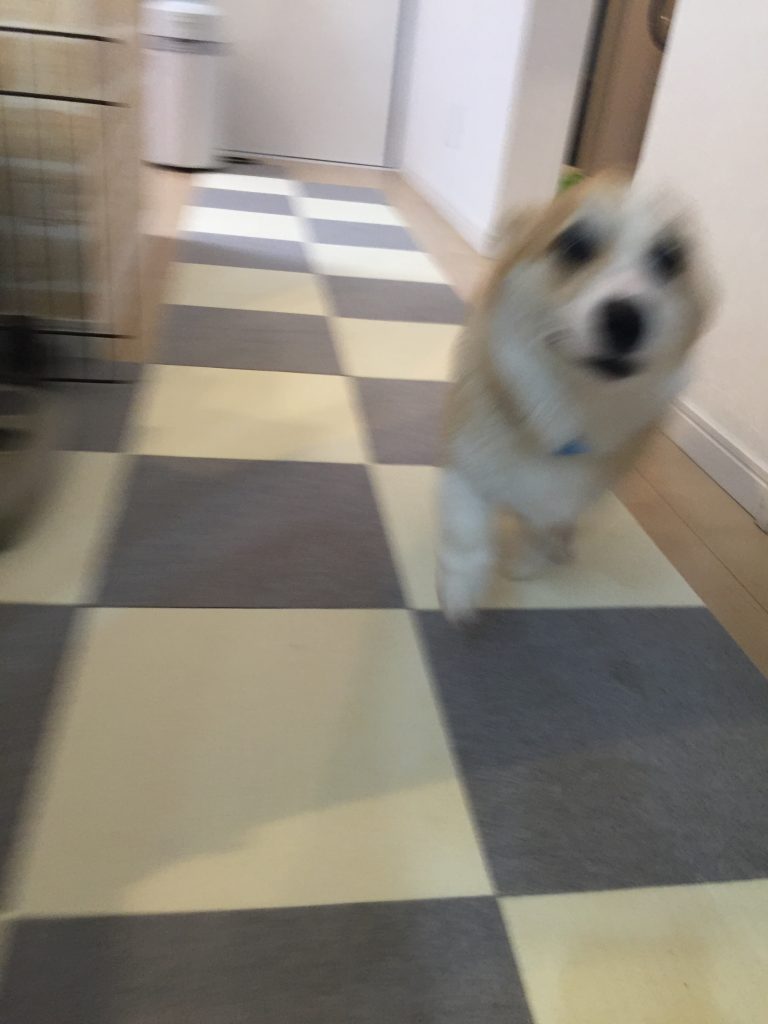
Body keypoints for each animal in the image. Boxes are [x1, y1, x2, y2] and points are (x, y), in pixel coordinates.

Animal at [438, 171, 714, 626]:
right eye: (574, 246)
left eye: (670, 258)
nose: (626, 318)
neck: (567, 404)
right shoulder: (466, 463)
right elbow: (467, 529)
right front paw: (463, 588)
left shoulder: (566, 494)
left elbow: (545, 522)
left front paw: (528, 563)